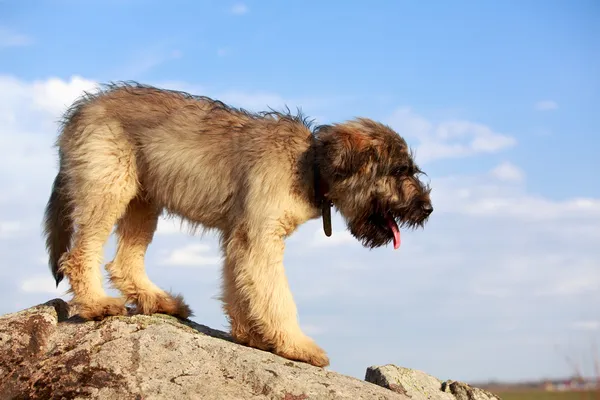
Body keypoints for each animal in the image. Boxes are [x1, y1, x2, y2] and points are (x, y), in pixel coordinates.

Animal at [43, 83, 432, 368]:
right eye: (400, 171)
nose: (428, 209)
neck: (309, 165)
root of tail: (81, 109)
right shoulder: (259, 237)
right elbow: (276, 296)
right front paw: (296, 344)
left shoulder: (240, 235)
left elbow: (241, 287)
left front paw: (252, 336)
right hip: (109, 187)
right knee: (80, 254)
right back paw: (96, 303)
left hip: (143, 199)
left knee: (123, 262)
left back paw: (159, 300)